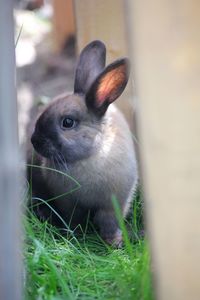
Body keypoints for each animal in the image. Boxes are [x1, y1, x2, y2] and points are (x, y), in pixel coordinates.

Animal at [27, 39, 138, 246]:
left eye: (67, 122)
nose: (34, 141)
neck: (89, 157)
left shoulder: (114, 204)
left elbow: (110, 223)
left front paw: (114, 243)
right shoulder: (69, 204)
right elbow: (74, 219)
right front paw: (73, 235)